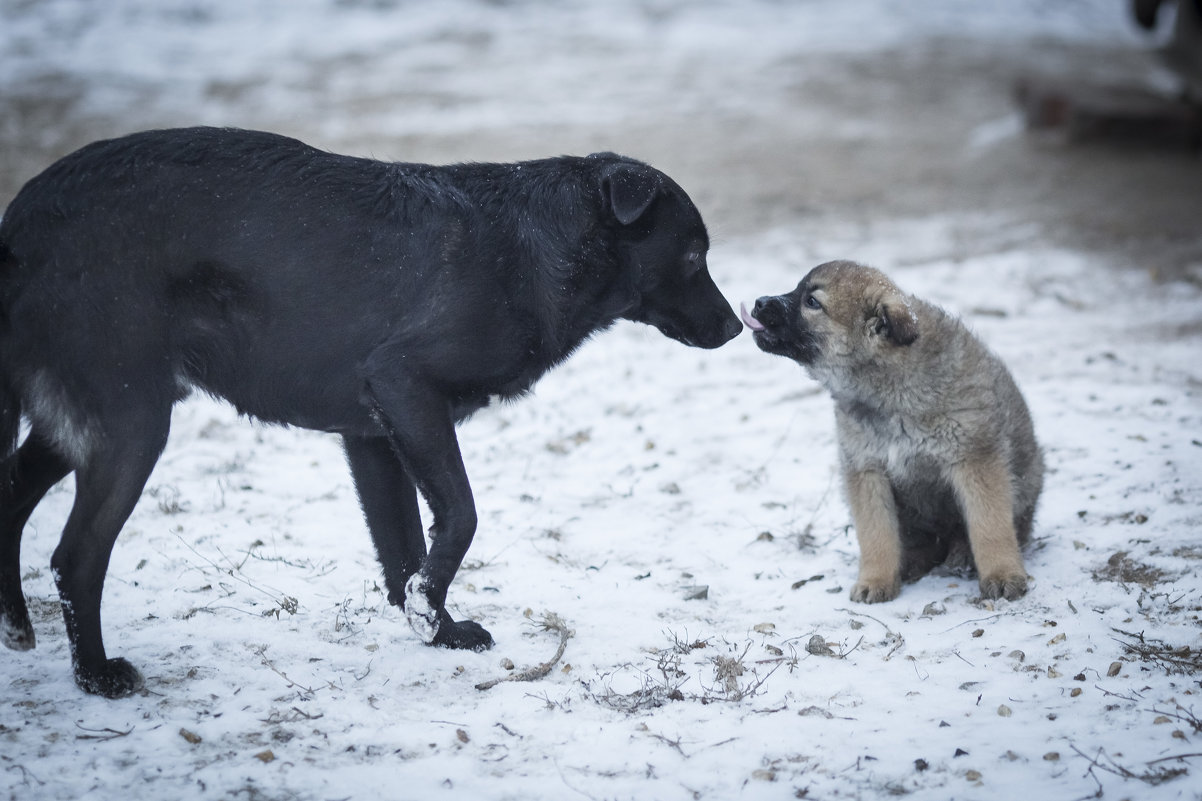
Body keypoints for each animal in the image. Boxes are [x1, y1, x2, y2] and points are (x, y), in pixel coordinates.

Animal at [0, 125, 740, 692]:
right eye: (693, 254)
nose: (739, 327)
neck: (536, 248)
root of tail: (23, 217)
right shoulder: (404, 386)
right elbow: (461, 517)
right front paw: (430, 614)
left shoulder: (374, 434)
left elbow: (405, 548)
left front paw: (435, 628)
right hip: (132, 423)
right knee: (75, 555)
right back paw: (96, 675)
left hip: (85, 421)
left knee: (12, 492)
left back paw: (16, 625)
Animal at [740, 260, 1043, 598]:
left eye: (812, 302)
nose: (759, 302)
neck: (890, 392)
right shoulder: (867, 468)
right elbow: (876, 534)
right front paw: (876, 580)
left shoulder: (974, 459)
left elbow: (990, 526)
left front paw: (1002, 574)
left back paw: (962, 554)